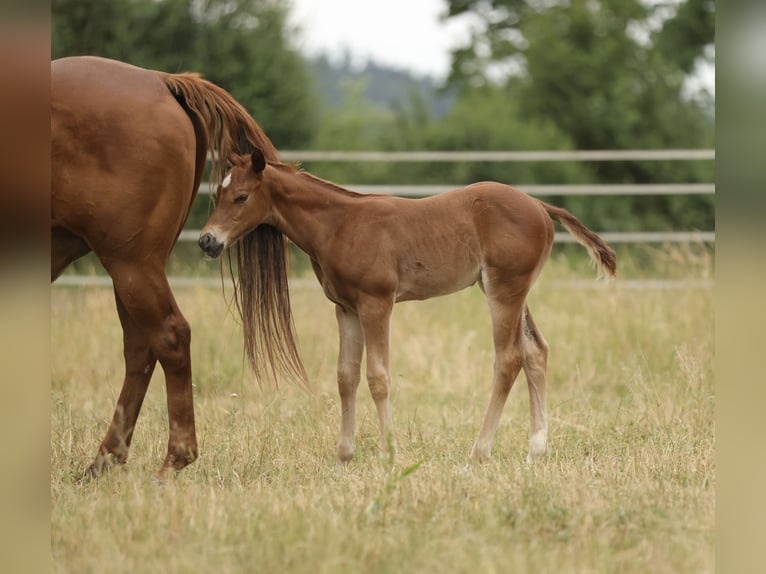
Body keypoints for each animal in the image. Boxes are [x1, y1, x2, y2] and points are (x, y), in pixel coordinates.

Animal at [51, 57, 305, 480]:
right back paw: (106, 460)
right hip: (131, 266)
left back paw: (173, 459)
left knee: (169, 337)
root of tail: (162, 80)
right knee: (141, 347)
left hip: (131, 261)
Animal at [199, 149, 617, 465]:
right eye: (217, 194)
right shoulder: (345, 308)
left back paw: (479, 451)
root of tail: (539, 206)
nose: (207, 241)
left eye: (241, 197)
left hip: (505, 290)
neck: (338, 225)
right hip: (510, 290)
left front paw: (390, 453)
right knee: (535, 351)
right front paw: (344, 456)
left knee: (509, 358)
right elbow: (345, 376)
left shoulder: (376, 303)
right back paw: (535, 451)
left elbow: (377, 377)